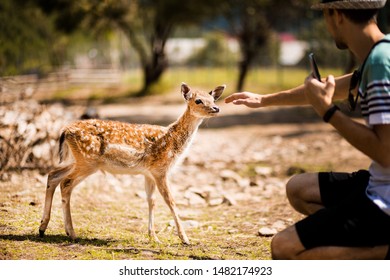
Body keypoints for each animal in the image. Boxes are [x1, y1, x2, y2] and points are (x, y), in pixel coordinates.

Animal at [38, 83, 225, 245]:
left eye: (213, 99)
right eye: (198, 100)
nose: (216, 108)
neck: (171, 141)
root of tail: (65, 130)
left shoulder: (148, 173)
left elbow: (151, 201)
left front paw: (153, 237)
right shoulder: (160, 170)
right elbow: (170, 201)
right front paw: (185, 238)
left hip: (75, 160)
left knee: (53, 176)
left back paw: (43, 228)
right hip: (87, 161)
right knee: (66, 183)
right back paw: (71, 232)